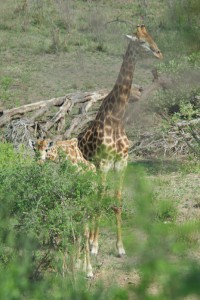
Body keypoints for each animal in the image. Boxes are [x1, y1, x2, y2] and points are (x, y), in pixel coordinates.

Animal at [77, 24, 163, 256]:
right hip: (91, 168)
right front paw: (95, 246)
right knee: (93, 195)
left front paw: (120, 247)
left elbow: (117, 201)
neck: (116, 120)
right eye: (141, 41)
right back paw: (90, 241)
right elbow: (101, 199)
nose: (159, 53)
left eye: (151, 37)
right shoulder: (105, 164)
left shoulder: (121, 163)